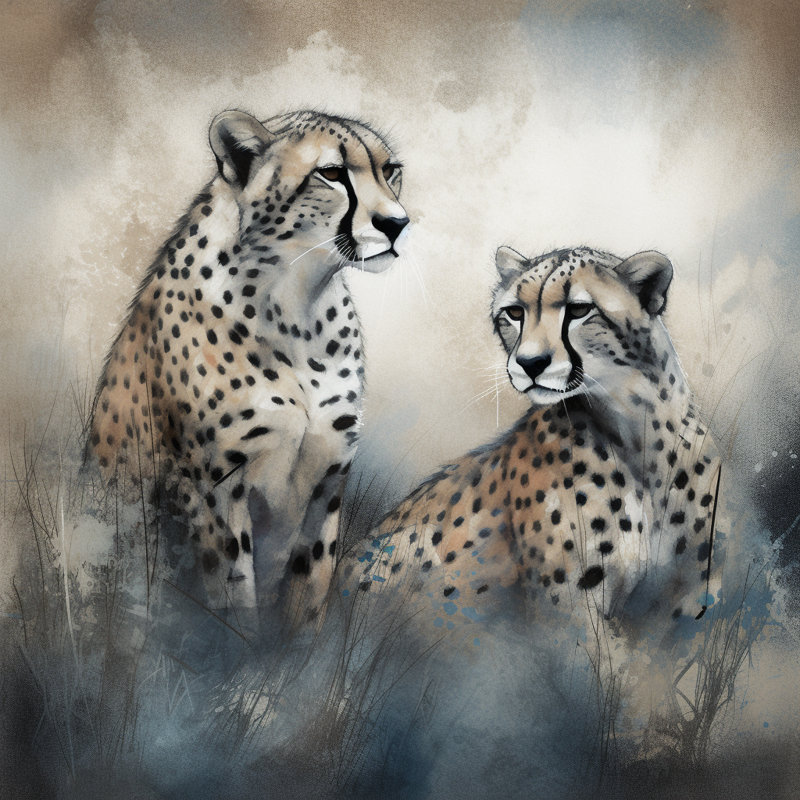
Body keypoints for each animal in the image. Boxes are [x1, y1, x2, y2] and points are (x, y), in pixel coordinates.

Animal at [87, 108, 409, 627]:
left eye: (390, 170)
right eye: (332, 173)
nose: (397, 223)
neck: (298, 301)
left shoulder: (328, 482)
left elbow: (308, 595)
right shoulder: (213, 487)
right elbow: (233, 594)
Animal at [339, 245, 720, 638]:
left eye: (579, 310)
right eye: (515, 313)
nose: (530, 363)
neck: (640, 431)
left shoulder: (679, 604)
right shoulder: (569, 611)